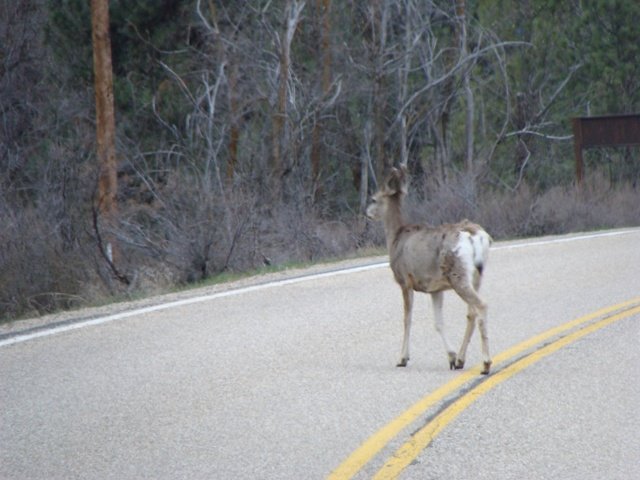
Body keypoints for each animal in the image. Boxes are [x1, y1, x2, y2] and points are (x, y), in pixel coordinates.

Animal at [366, 165, 493, 374]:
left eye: (374, 199)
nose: (366, 213)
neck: (395, 238)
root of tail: (476, 236)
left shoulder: (405, 280)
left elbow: (407, 319)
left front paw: (402, 358)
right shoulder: (435, 288)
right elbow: (438, 323)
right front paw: (451, 357)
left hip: (457, 273)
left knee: (481, 305)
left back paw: (486, 363)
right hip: (476, 275)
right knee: (471, 313)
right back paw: (461, 359)